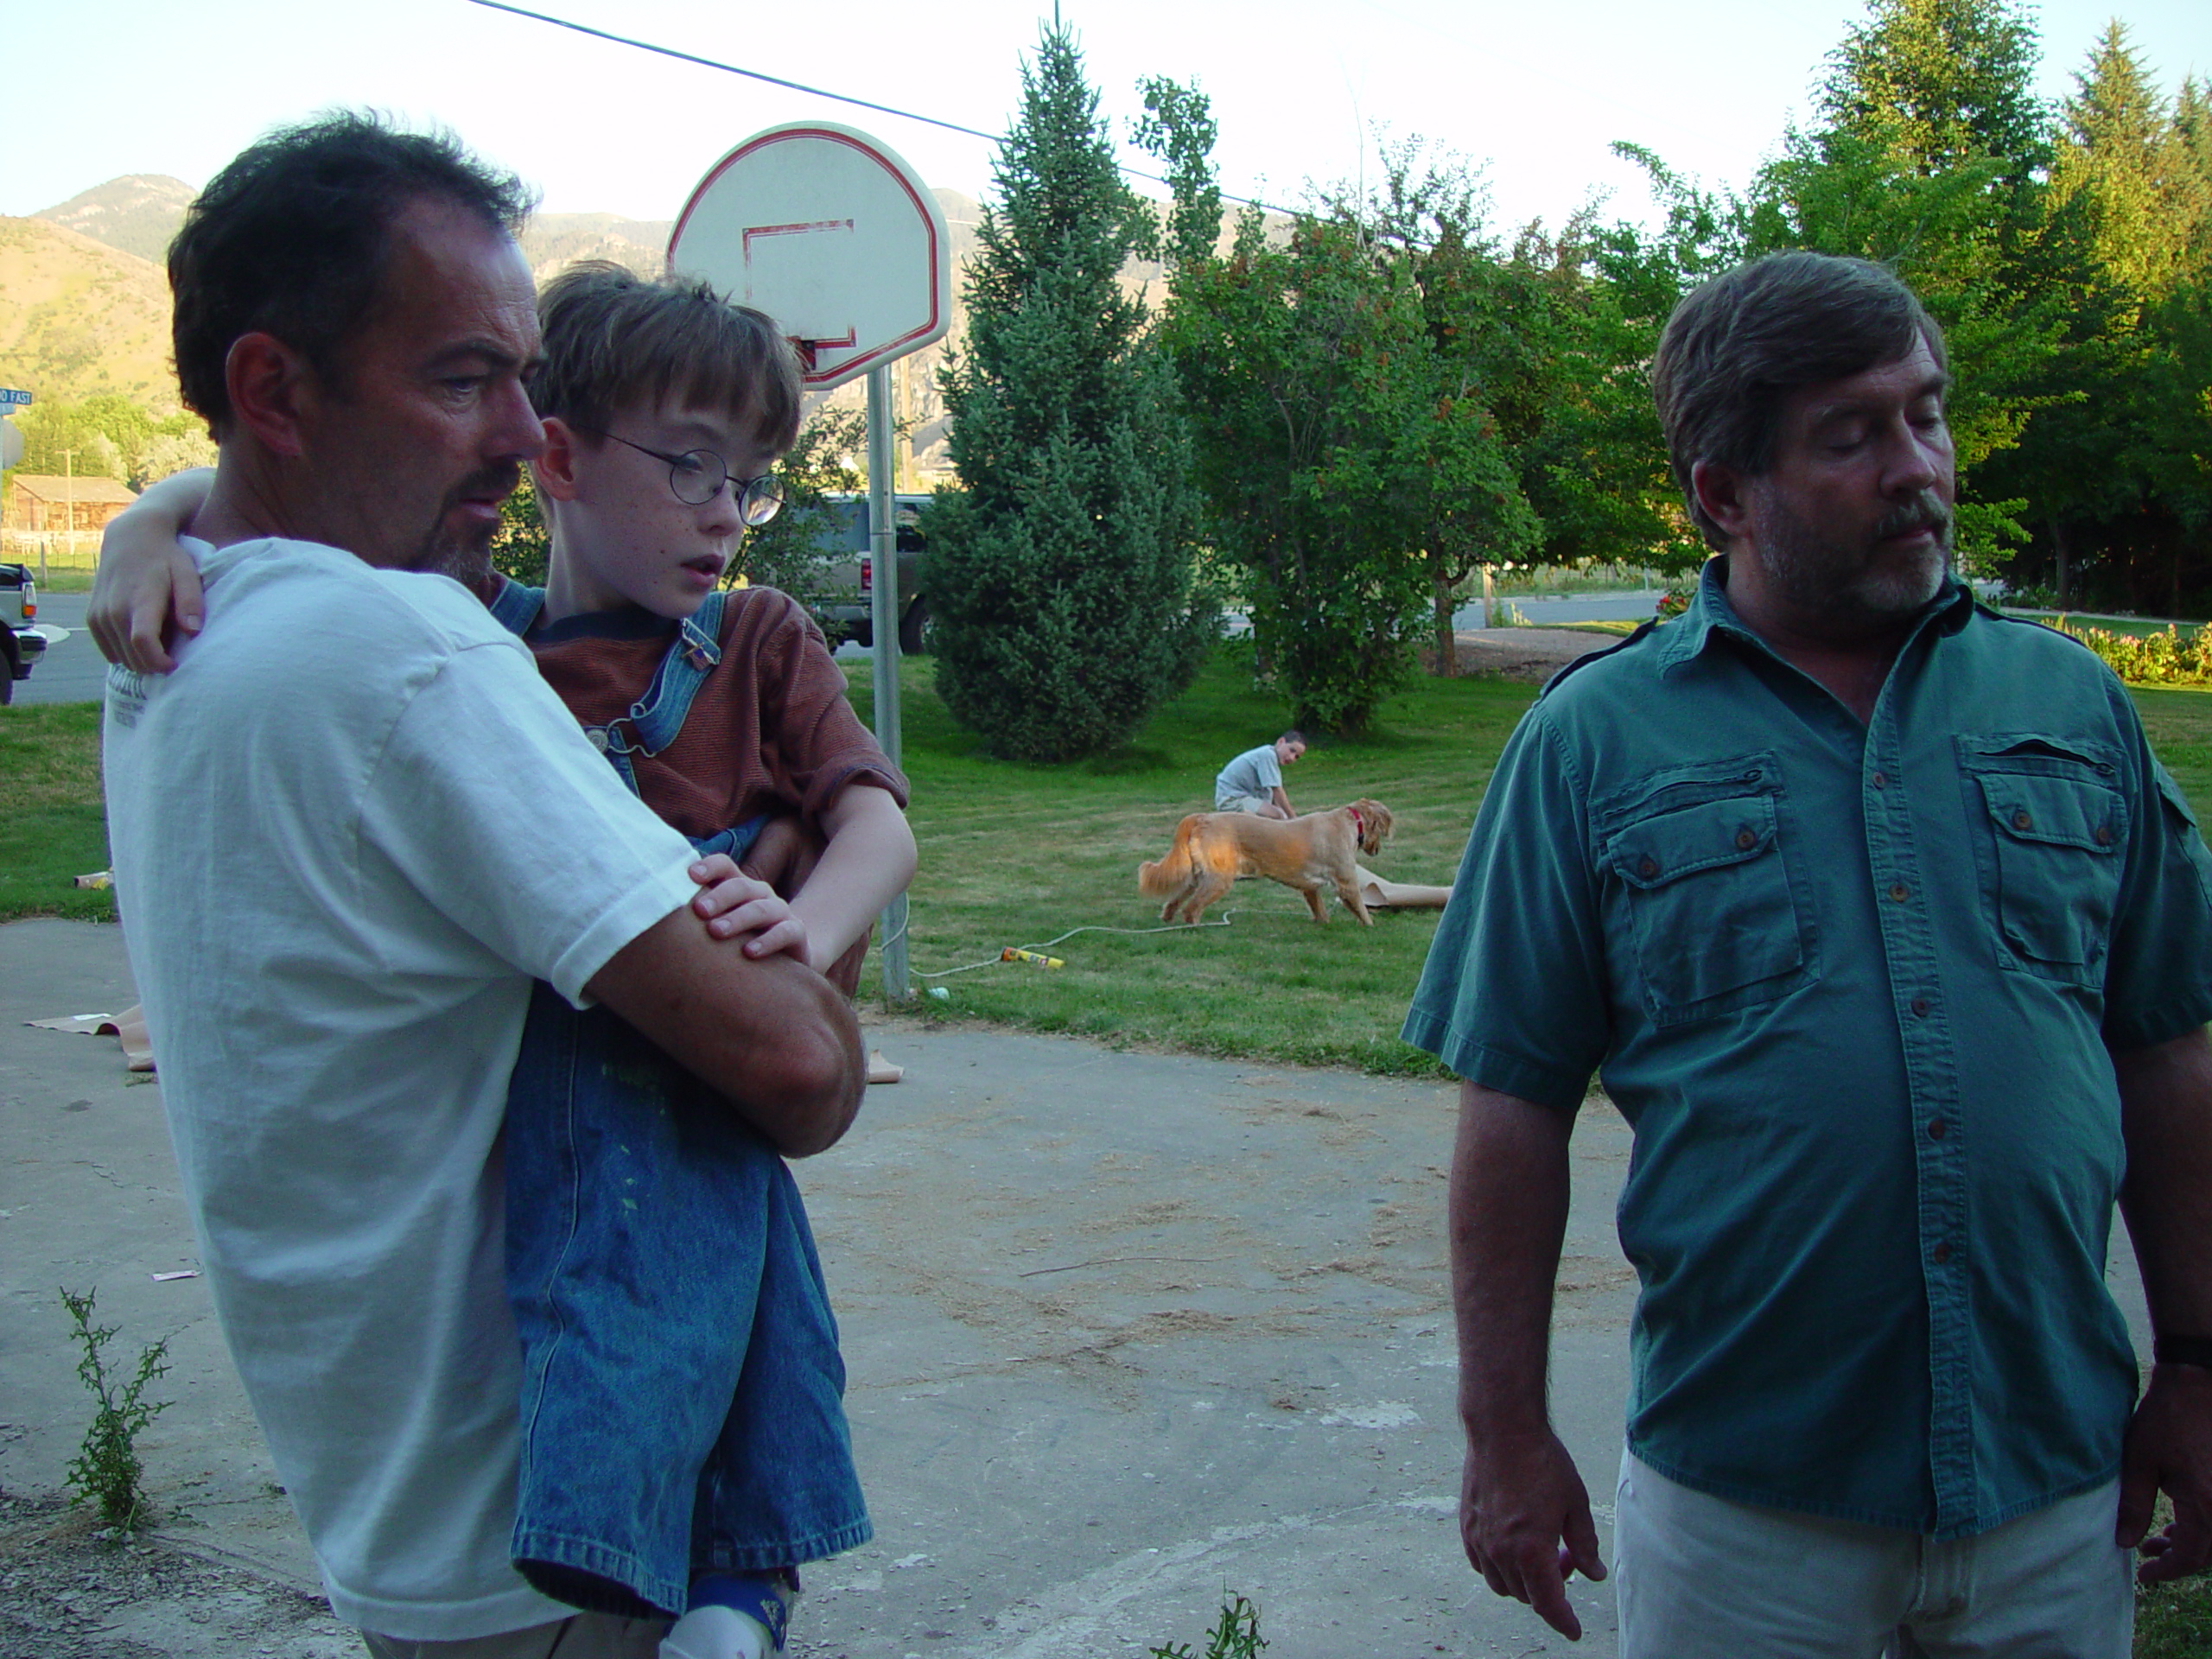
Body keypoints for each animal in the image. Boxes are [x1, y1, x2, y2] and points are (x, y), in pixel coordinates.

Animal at [1141, 800, 1397, 929]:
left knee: (1173, 902)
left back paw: (1168, 921)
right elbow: (1361, 908)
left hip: (1195, 876)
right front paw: (1370, 926)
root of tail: (1202, 817)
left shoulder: (1310, 887)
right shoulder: (1347, 880)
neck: (1351, 821)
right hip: (1219, 878)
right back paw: (1195, 927)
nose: (1377, 850)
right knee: (1191, 909)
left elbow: (1319, 909)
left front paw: (1322, 923)